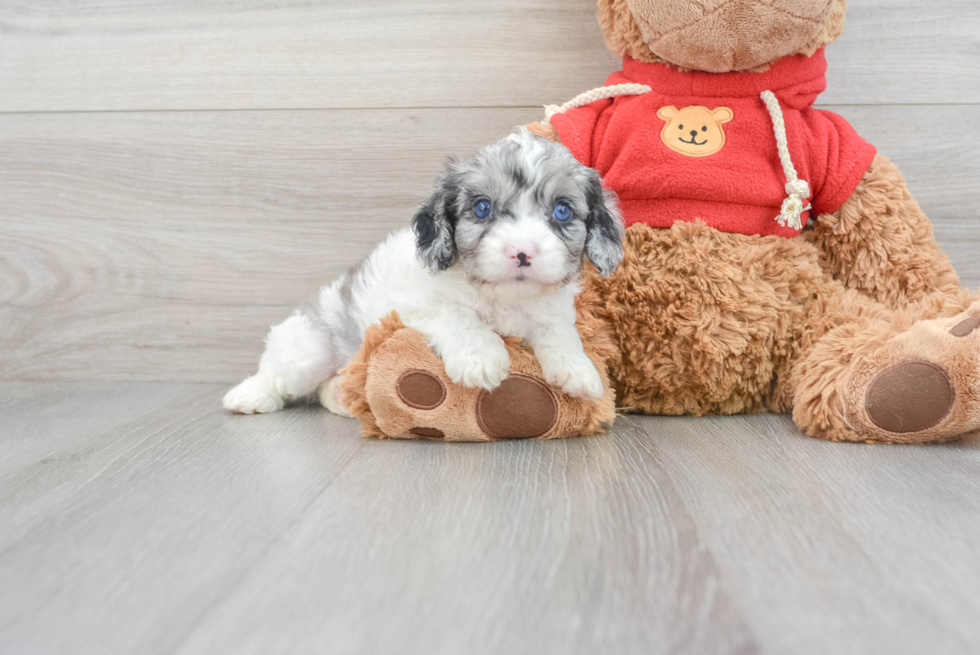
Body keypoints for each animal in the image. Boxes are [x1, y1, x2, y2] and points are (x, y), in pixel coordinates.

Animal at [223, 129, 624, 416]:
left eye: (562, 211)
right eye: (482, 208)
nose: (521, 252)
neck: (501, 299)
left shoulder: (550, 310)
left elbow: (559, 332)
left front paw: (578, 368)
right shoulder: (414, 304)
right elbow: (458, 316)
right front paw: (481, 358)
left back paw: (339, 396)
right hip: (309, 348)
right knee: (278, 373)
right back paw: (248, 396)